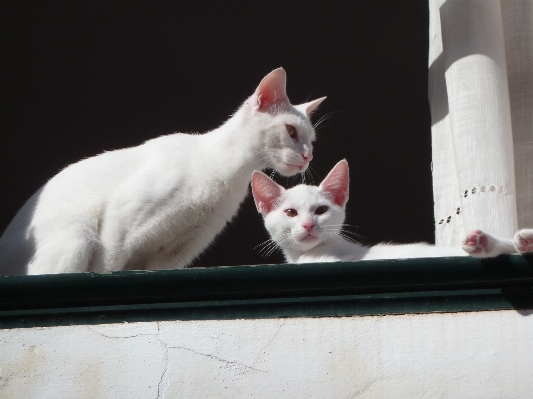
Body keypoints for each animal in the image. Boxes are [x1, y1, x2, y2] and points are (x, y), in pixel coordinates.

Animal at [0, 68, 326, 276]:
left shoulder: (176, 253)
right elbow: (108, 268)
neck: (227, 175)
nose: (308, 156)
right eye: (290, 131)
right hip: (79, 235)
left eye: (312, 140)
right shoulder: (121, 226)